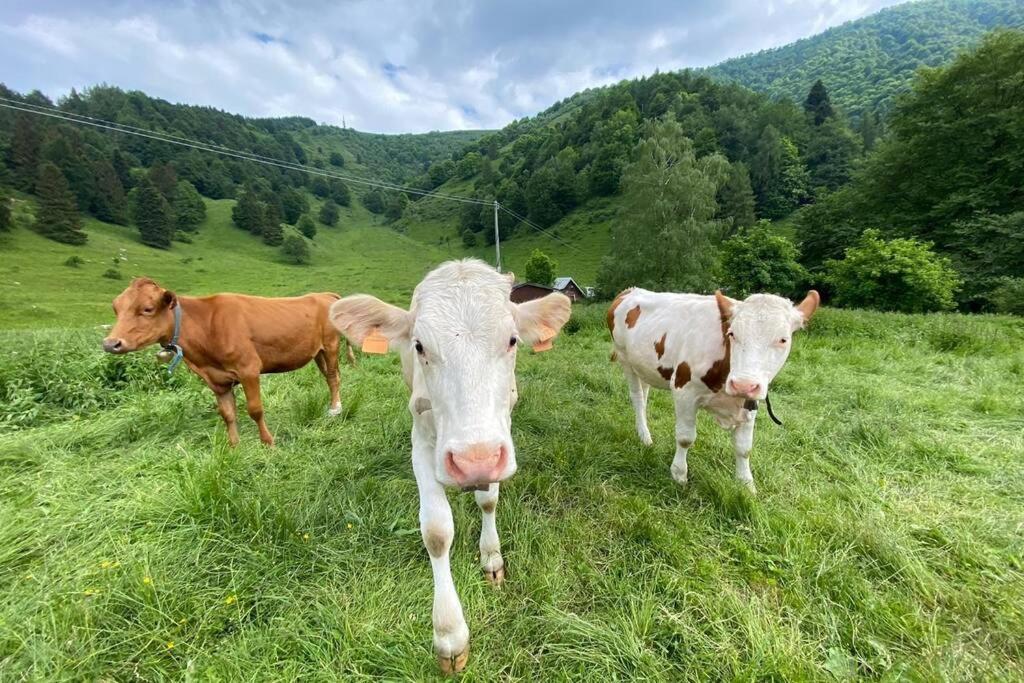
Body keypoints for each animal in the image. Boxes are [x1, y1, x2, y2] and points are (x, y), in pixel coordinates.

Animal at [103, 278, 350, 448]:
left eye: (147, 309)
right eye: (116, 308)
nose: (110, 343)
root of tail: (324, 294)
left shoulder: (249, 369)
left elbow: (255, 410)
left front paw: (268, 443)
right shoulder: (216, 380)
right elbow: (227, 414)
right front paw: (234, 447)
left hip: (330, 345)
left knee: (333, 376)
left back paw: (335, 409)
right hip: (317, 351)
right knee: (329, 376)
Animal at [327, 260, 573, 671]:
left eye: (512, 340)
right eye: (419, 346)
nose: (474, 462)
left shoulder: (499, 434)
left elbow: (488, 500)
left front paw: (491, 557)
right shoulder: (421, 440)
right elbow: (437, 532)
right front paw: (449, 634)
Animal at [606, 288, 815, 491]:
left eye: (783, 340)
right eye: (732, 334)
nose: (743, 384)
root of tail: (630, 290)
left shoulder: (750, 401)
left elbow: (744, 447)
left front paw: (746, 485)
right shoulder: (684, 391)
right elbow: (685, 438)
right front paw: (679, 474)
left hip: (644, 366)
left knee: (645, 392)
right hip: (625, 359)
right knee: (638, 398)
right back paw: (644, 436)